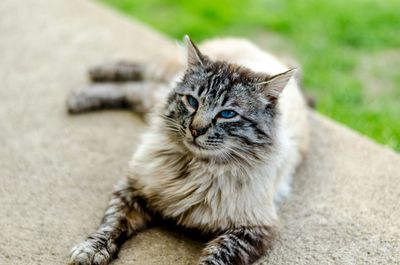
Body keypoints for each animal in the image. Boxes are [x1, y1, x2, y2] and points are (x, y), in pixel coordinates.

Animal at [68, 35, 310, 264]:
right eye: (192, 101)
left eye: (227, 114)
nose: (196, 130)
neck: (193, 169)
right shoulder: (133, 189)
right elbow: (110, 224)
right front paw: (91, 251)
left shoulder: (253, 230)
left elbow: (217, 257)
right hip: (159, 83)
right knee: (140, 73)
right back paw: (89, 84)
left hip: (151, 96)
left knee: (135, 88)